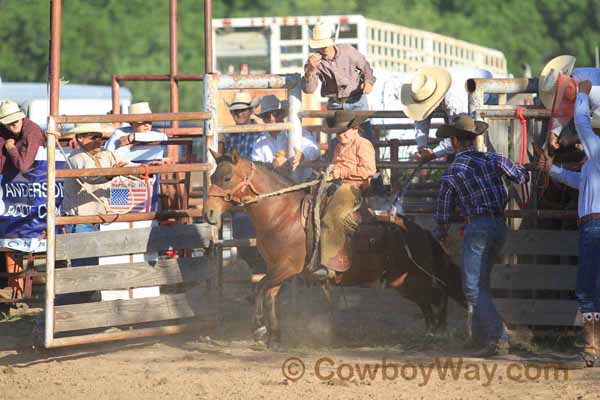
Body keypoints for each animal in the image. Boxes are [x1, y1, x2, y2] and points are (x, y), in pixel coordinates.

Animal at [204, 150, 466, 346]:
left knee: (439, 291)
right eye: (212, 177)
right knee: (428, 299)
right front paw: (274, 336)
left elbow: (260, 289)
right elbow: (269, 295)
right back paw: (431, 330)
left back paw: (440, 330)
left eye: (226, 178)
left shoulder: (287, 267)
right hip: (403, 282)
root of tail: (419, 231)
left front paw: (259, 329)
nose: (208, 212)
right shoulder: (276, 268)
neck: (282, 215)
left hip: (415, 277)